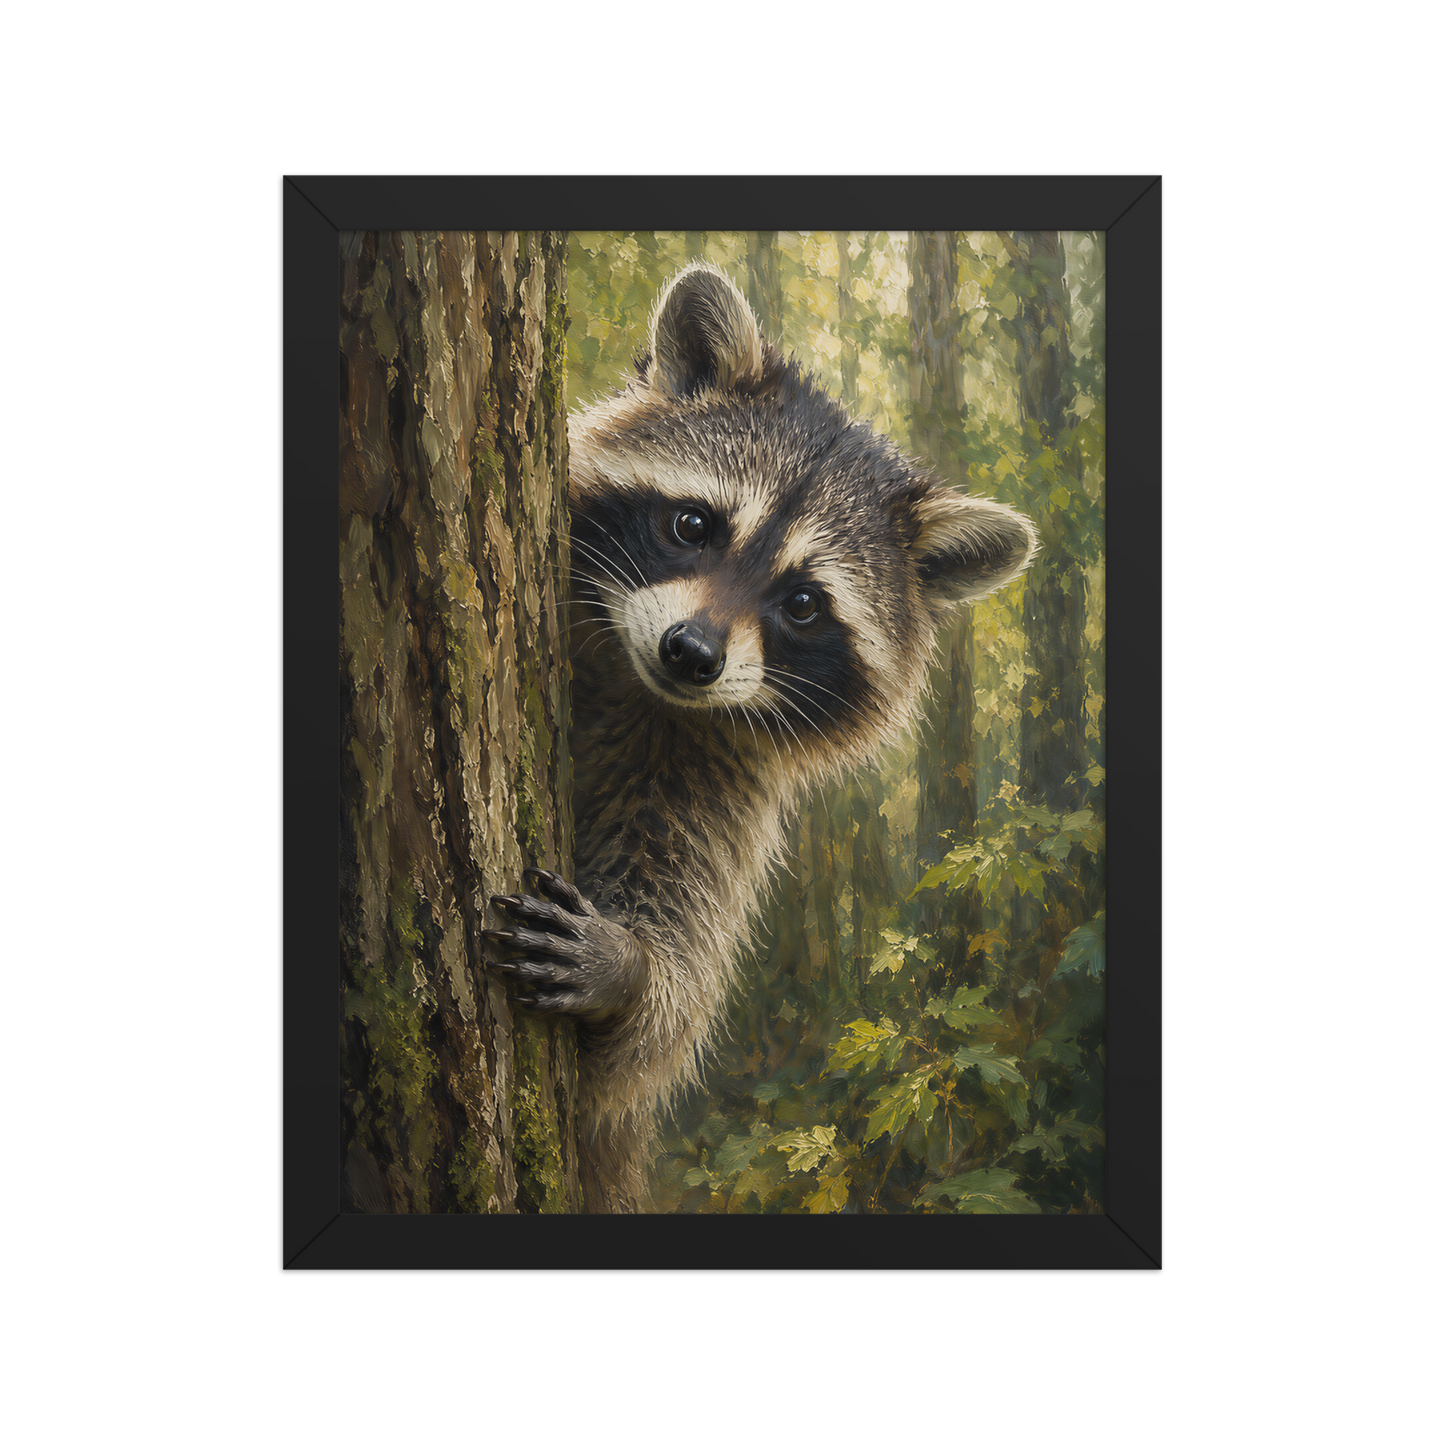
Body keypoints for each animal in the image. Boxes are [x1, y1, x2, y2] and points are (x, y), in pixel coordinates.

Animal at [483, 261, 1038, 1212]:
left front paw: (633, 973)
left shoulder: (716, 783)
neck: (637, 686)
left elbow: (653, 1031)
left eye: (804, 603)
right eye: (693, 524)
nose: (692, 652)